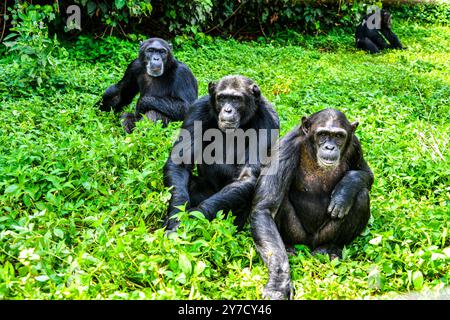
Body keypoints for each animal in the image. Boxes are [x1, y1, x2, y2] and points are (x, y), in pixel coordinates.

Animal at [163, 74, 280, 231]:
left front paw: (193, 218)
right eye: (222, 98)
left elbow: (246, 176)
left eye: (236, 99)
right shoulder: (197, 110)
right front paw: (176, 217)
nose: (228, 110)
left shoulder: (269, 120)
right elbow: (180, 163)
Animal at [251, 109, 374, 298]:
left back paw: (330, 248)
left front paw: (344, 191)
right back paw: (288, 249)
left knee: (361, 195)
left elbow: (366, 173)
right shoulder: (285, 149)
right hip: (298, 235)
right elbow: (265, 208)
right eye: (322, 135)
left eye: (339, 136)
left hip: (324, 235)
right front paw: (278, 284)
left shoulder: (355, 145)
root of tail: (311, 245)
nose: (330, 147)